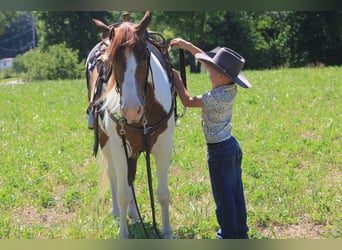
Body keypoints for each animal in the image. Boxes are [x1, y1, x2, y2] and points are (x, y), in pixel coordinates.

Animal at [85, 11, 176, 238]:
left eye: (144, 56)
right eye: (111, 59)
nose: (132, 110)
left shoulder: (164, 146)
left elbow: (162, 193)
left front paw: (167, 231)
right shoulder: (119, 147)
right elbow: (124, 192)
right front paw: (123, 233)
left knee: (130, 177)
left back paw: (134, 215)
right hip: (107, 142)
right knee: (114, 175)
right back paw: (119, 213)